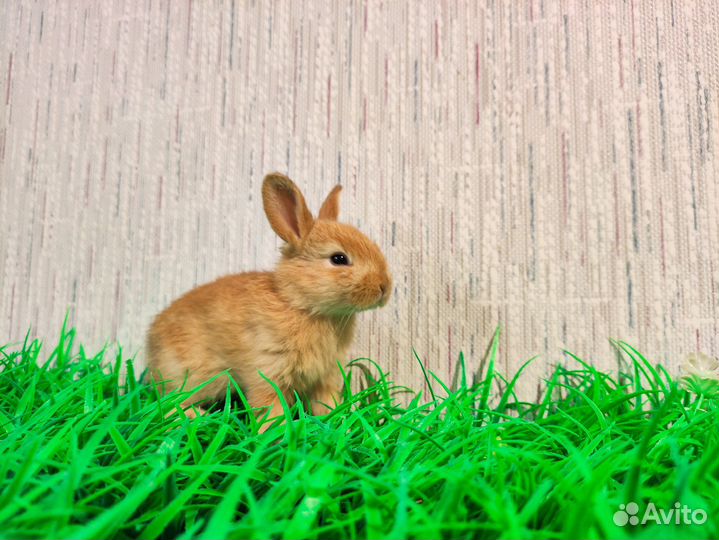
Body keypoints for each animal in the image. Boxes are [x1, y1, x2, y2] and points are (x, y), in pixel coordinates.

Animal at [146, 172, 392, 430]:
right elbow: (270, 408)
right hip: (188, 376)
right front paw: (276, 433)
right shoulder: (267, 370)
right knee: (167, 406)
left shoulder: (325, 377)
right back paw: (199, 416)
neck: (301, 305)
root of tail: (150, 341)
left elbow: (327, 405)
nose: (384, 287)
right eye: (339, 259)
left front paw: (337, 425)